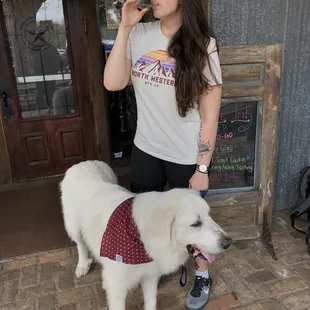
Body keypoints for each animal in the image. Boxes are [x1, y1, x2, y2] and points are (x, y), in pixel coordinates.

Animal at [60, 161, 230, 308]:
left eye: (209, 215)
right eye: (196, 223)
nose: (228, 242)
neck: (140, 238)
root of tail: (84, 163)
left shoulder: (150, 276)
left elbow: (151, 302)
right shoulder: (117, 288)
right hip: (73, 225)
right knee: (80, 244)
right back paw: (82, 265)